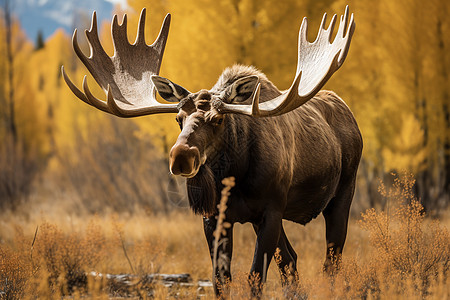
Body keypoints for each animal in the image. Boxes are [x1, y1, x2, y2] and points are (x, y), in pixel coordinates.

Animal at [61, 6, 362, 298]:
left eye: (218, 119)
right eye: (178, 118)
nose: (181, 156)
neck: (236, 177)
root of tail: (350, 115)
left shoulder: (272, 209)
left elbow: (255, 278)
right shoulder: (214, 218)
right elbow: (221, 280)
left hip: (343, 194)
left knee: (331, 262)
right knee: (291, 260)